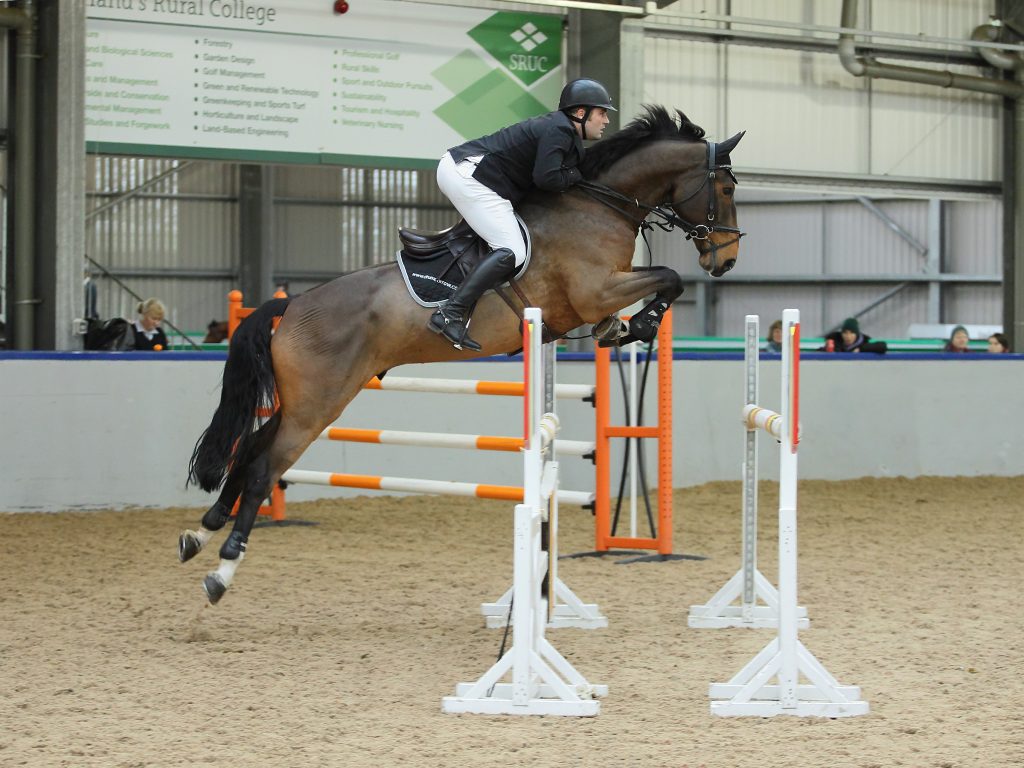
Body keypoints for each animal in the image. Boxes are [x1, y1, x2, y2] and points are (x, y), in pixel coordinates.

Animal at [180, 105, 745, 606]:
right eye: (726, 189)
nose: (726, 259)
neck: (599, 206)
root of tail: (292, 304)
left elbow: (657, 286)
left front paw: (625, 327)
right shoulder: (597, 289)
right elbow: (667, 278)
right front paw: (643, 323)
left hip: (305, 401)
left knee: (251, 448)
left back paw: (200, 534)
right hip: (317, 405)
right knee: (263, 467)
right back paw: (223, 569)